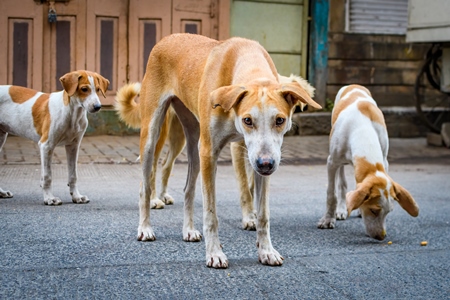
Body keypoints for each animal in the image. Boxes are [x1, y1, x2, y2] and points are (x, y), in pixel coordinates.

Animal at [0, 70, 109, 205]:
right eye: (84, 89)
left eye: (98, 89)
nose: (98, 106)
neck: (72, 114)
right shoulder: (46, 145)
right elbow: (47, 176)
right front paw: (49, 198)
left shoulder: (73, 146)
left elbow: (73, 175)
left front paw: (76, 196)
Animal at [122, 33, 320, 270]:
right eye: (247, 120)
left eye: (280, 120)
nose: (265, 164)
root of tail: (167, 37)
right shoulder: (210, 152)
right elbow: (211, 213)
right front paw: (215, 253)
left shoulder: (259, 161)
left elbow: (263, 214)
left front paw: (266, 251)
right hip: (154, 132)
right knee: (145, 185)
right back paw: (145, 228)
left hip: (194, 141)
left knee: (188, 188)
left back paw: (188, 230)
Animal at [316, 84, 418, 241]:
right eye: (374, 210)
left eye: (389, 212)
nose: (381, 237)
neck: (362, 128)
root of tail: (354, 85)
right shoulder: (331, 162)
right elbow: (331, 194)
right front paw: (328, 220)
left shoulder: (384, 162)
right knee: (342, 182)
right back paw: (341, 209)